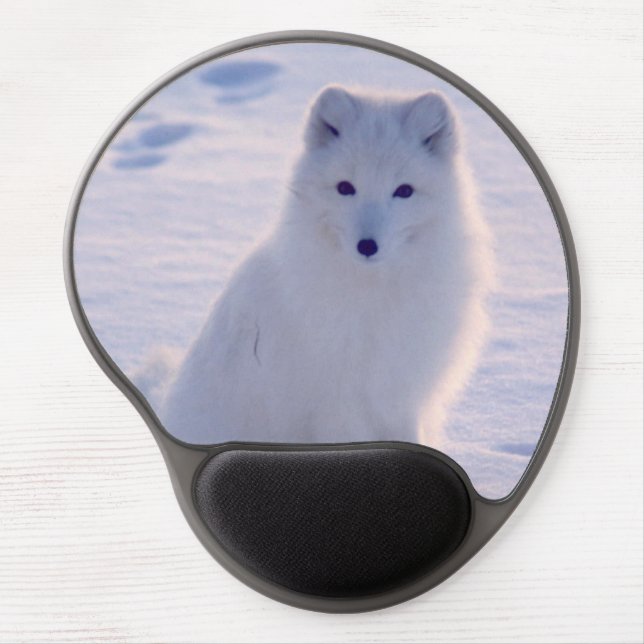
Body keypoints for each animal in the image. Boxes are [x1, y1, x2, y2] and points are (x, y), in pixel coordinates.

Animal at [161, 85, 495, 447]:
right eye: (345, 188)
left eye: (404, 191)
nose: (367, 245)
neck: (373, 294)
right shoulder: (337, 406)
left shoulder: (400, 396)